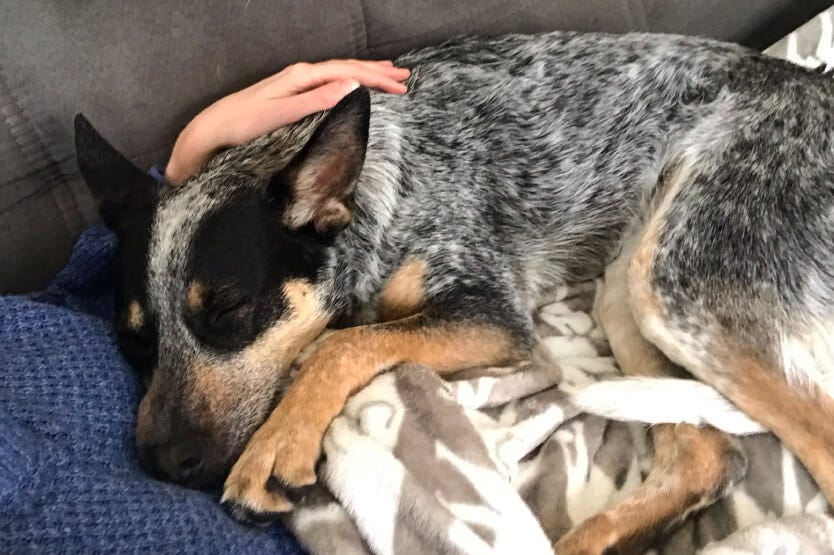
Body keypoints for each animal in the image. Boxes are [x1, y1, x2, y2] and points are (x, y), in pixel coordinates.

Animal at [70, 31, 832, 555]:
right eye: (132, 339)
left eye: (228, 310)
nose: (162, 463)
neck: (375, 197)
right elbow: (347, 337)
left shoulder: (490, 315)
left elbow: (339, 346)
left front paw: (277, 442)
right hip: (626, 286)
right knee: (710, 458)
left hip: (676, 284)